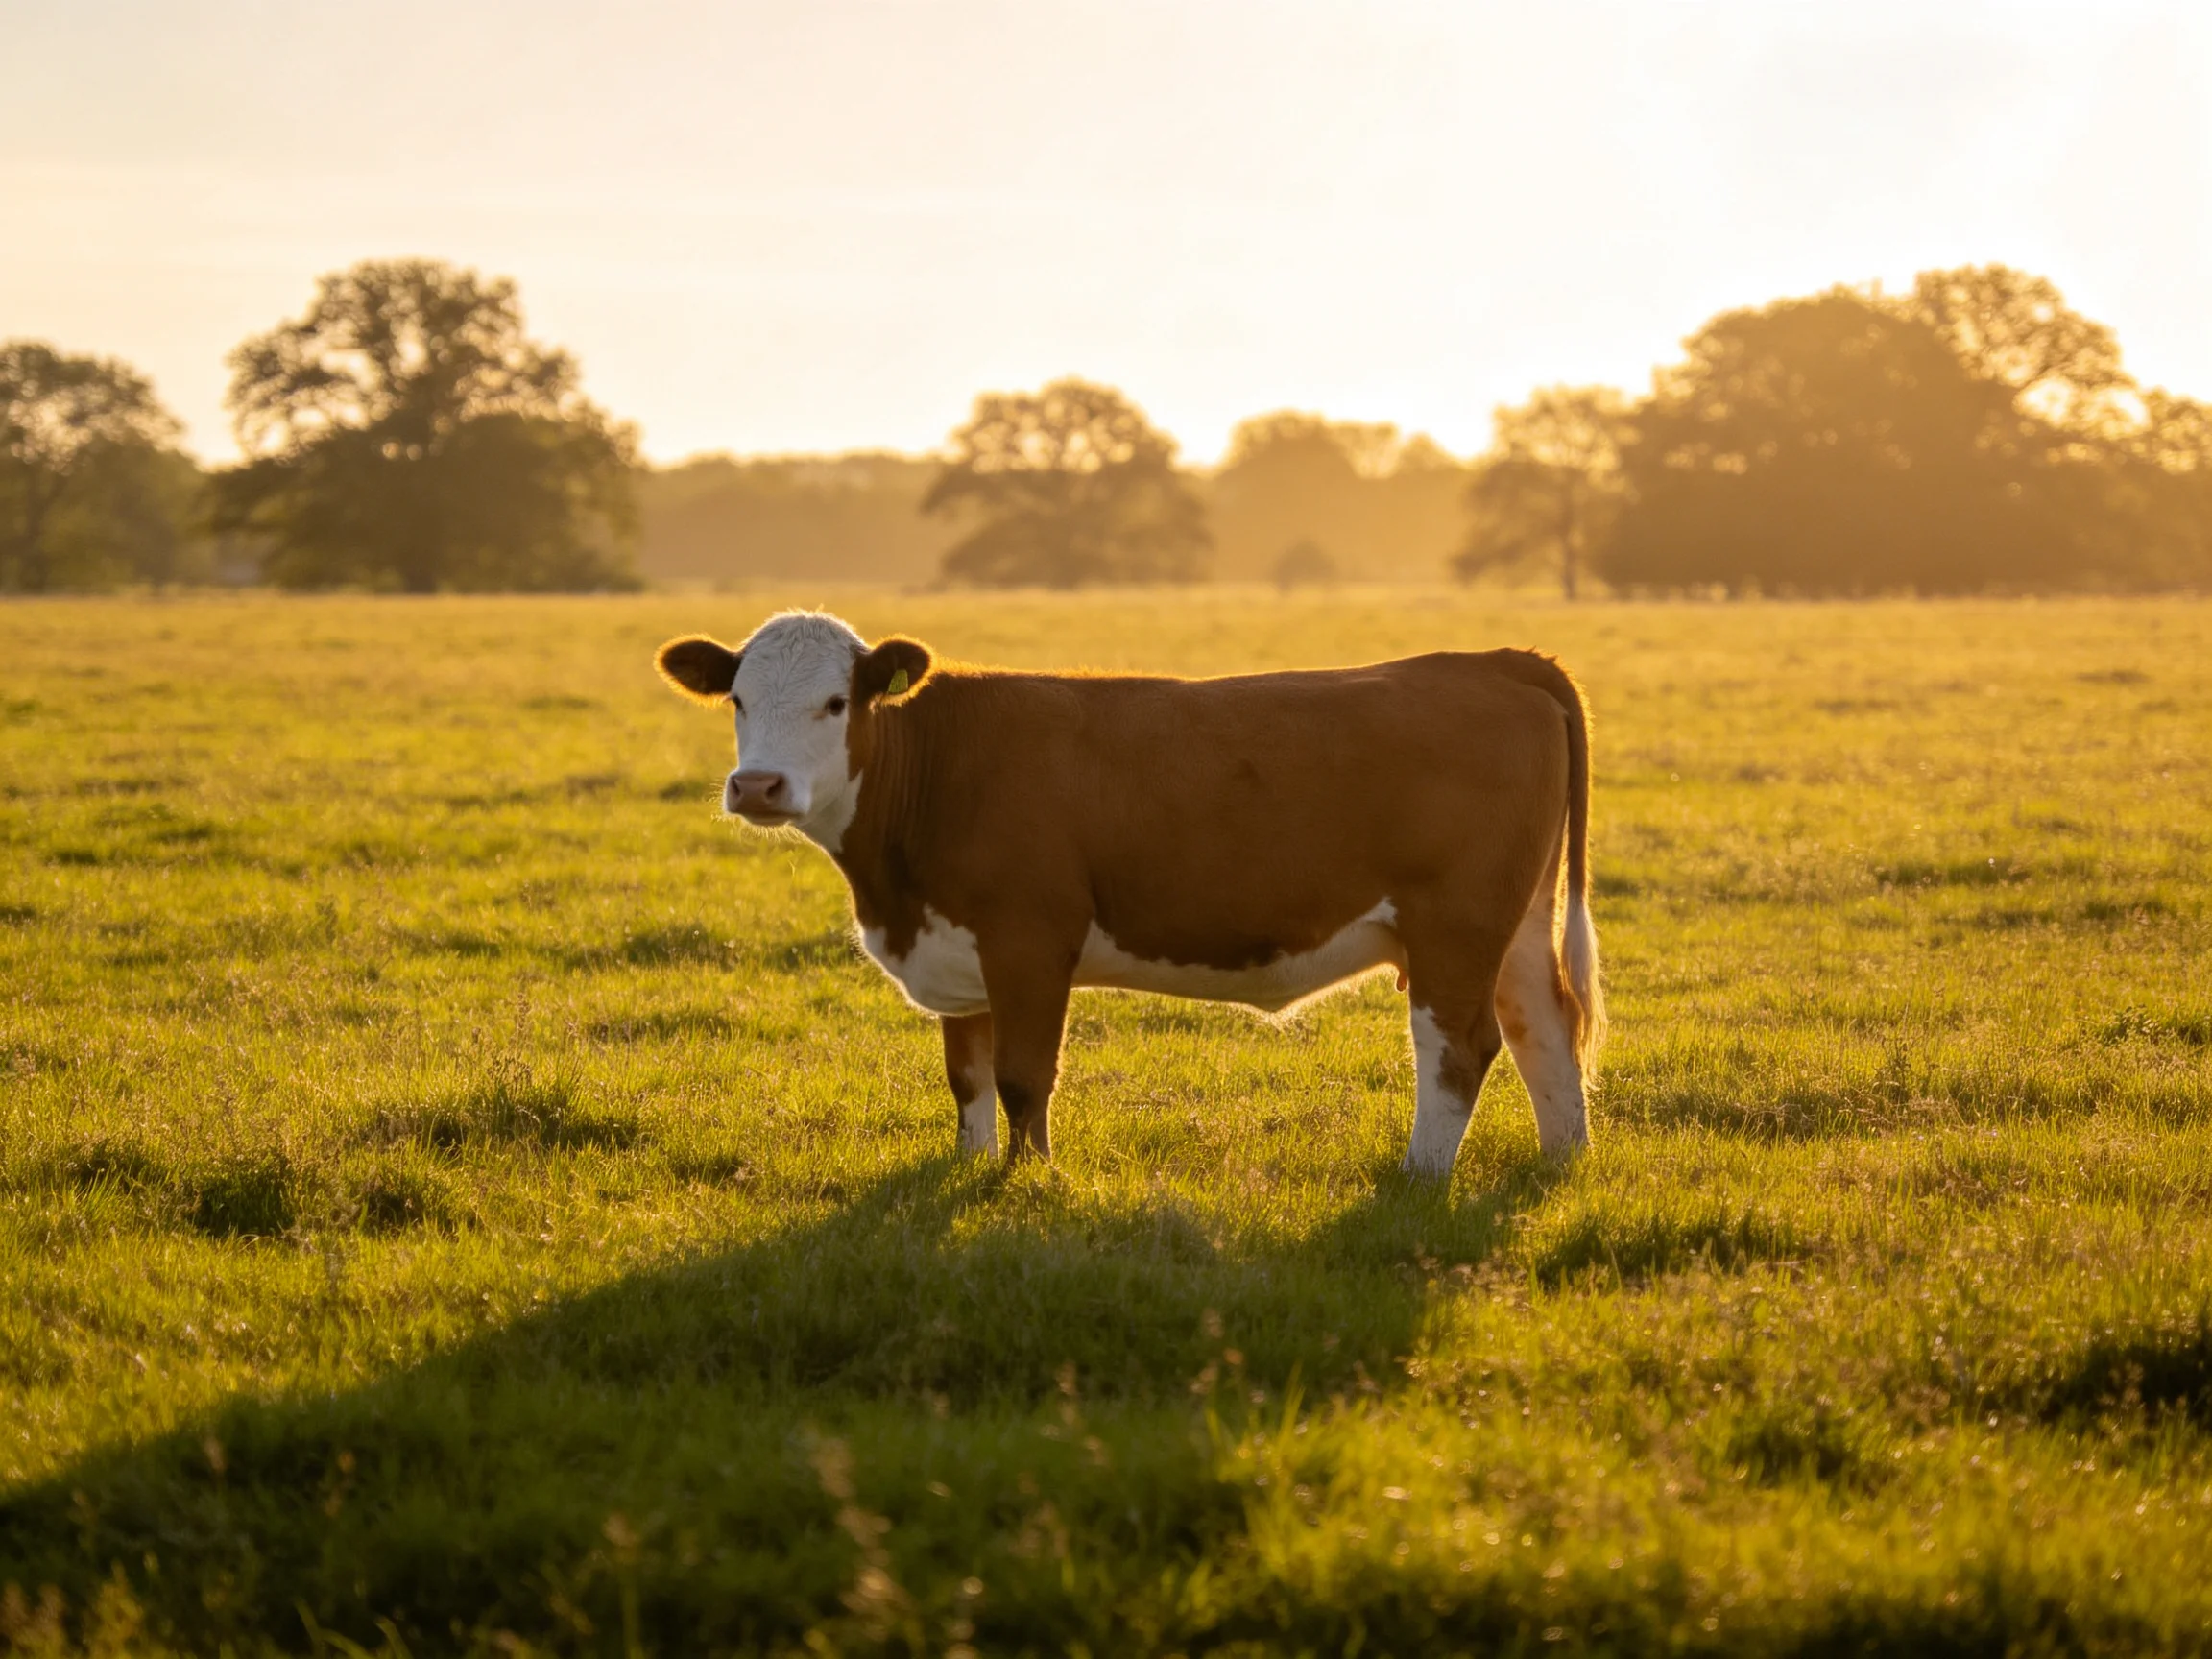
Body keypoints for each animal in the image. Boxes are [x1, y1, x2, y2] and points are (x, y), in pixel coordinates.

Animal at [654, 610, 1603, 1177]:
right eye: (737, 699)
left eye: (835, 701)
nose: (758, 785)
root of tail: (1494, 662)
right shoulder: (956, 952)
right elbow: (966, 1077)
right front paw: (970, 1168)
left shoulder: (1030, 941)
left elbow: (1024, 1076)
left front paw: (1028, 1182)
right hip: (1516, 924)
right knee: (1544, 1030)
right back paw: (1562, 1164)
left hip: (1455, 924)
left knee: (1458, 1048)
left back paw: (1421, 1177)